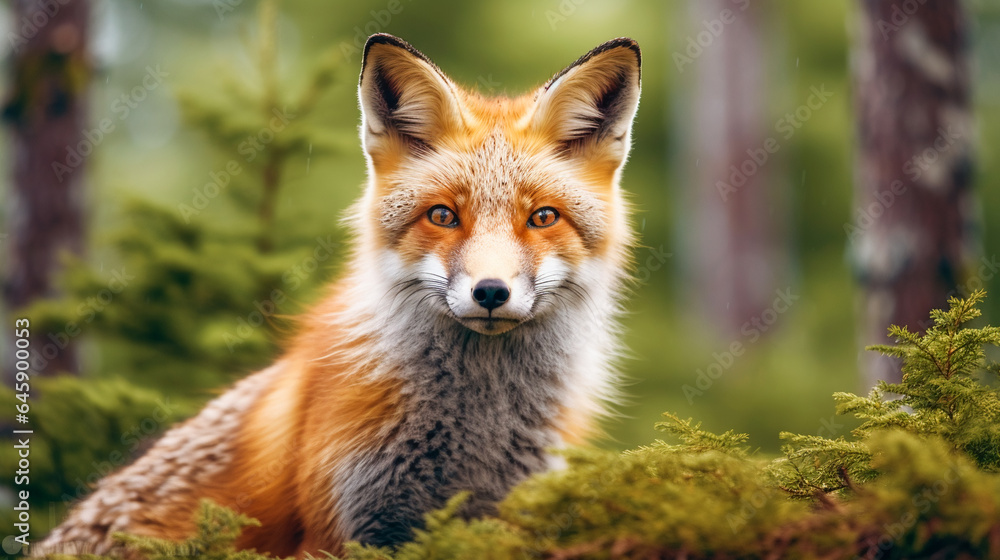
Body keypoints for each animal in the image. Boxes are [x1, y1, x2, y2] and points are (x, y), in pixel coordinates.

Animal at [34, 34, 641, 558]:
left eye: (543, 218)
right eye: (443, 216)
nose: (490, 291)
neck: (476, 431)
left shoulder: (506, 516)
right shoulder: (344, 529)